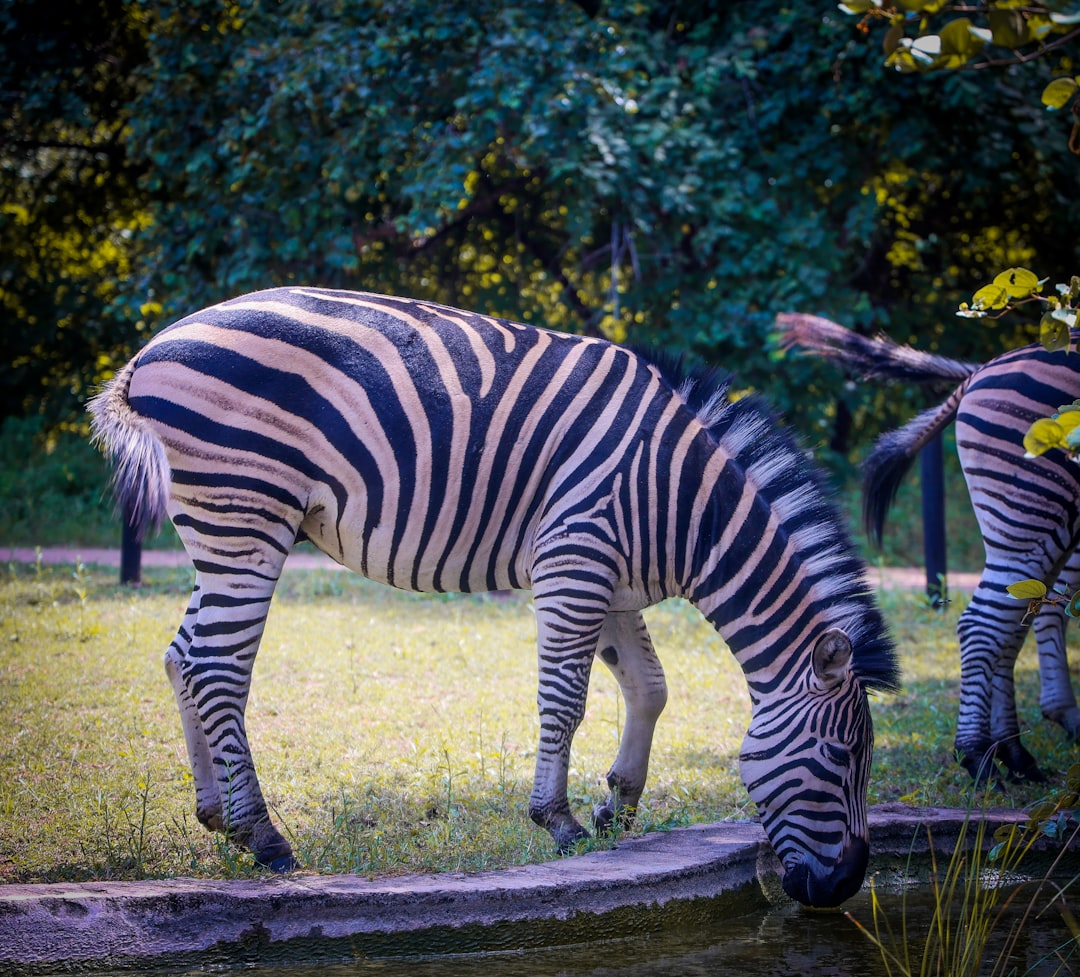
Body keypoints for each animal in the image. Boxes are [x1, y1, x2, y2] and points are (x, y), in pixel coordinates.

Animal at [89, 287, 899, 908]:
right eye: (841, 755)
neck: (684, 504)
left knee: (183, 659)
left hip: (221, 531)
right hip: (246, 513)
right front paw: (560, 821)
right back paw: (265, 836)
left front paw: (618, 805)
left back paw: (216, 815)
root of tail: (153, 348)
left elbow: (650, 687)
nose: (843, 887)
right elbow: (566, 699)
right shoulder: (575, 557)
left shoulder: (613, 583)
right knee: (219, 670)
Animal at [778, 312, 1080, 783]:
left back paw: (1015, 753)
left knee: (1014, 622)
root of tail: (980, 371)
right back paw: (981, 755)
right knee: (988, 624)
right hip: (1034, 506)